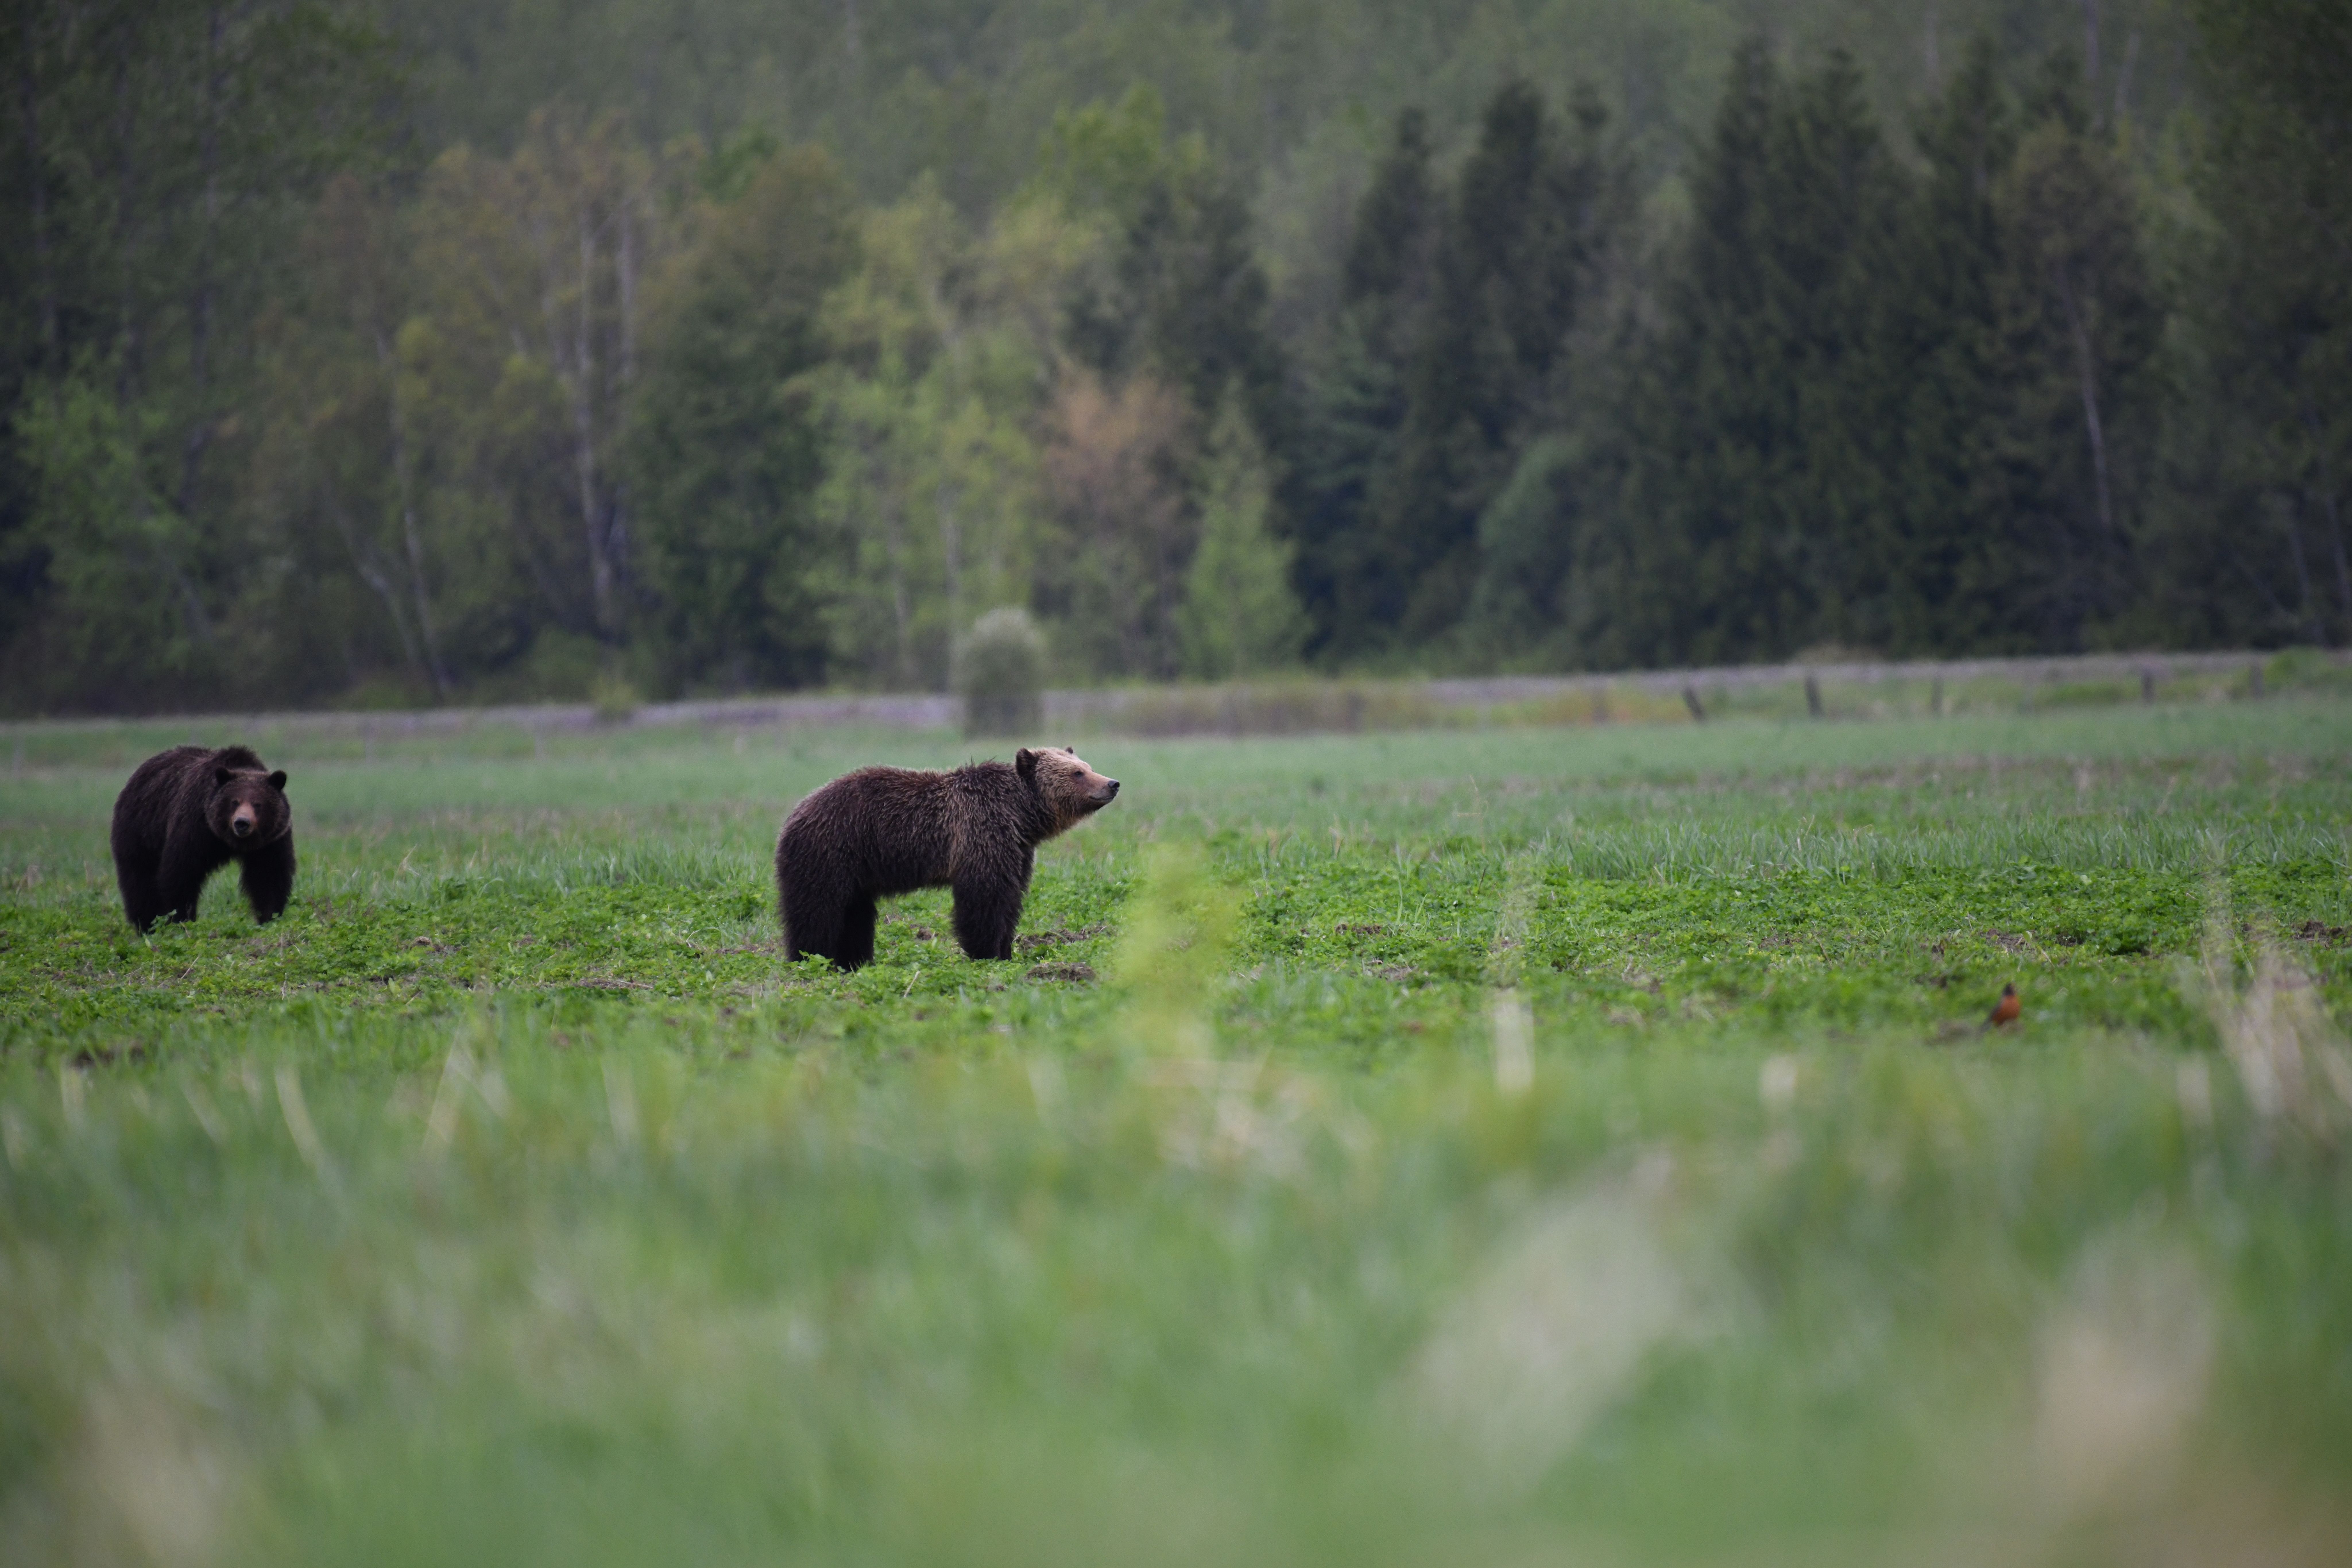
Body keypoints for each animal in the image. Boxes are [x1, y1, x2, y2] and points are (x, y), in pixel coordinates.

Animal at [110, 745, 296, 932]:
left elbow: (269, 877)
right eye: (235, 802)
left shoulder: (270, 843)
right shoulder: (195, 828)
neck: (228, 841)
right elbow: (181, 874)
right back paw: (147, 925)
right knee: (140, 881)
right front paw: (182, 919)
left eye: (258, 804)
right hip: (141, 831)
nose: (242, 823)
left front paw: (269, 918)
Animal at [776, 746, 1119, 970]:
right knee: (816, 911)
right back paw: (809, 959)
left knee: (855, 916)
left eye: (1086, 765)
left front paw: (1007, 951)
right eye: (1077, 772)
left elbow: (1011, 900)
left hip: (856, 874)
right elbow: (983, 900)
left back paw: (854, 962)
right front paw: (987, 953)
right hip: (830, 853)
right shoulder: (980, 835)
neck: (1020, 815)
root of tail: (794, 814)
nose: (1112, 783)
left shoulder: (1017, 851)